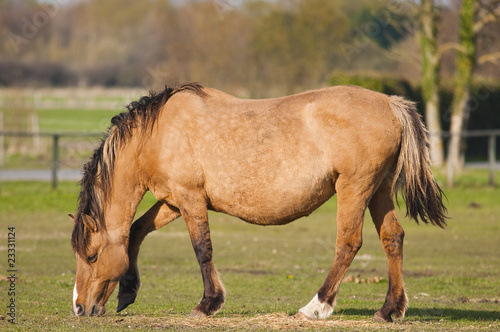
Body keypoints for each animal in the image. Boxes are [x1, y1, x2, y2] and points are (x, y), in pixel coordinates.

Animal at [69, 82, 446, 322]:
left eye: (92, 256)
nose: (79, 308)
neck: (159, 134)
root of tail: (390, 103)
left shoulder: (191, 200)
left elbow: (202, 248)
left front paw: (208, 304)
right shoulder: (173, 202)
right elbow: (135, 231)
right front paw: (128, 291)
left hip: (355, 189)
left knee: (349, 243)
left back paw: (316, 306)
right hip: (379, 191)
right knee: (392, 238)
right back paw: (389, 309)